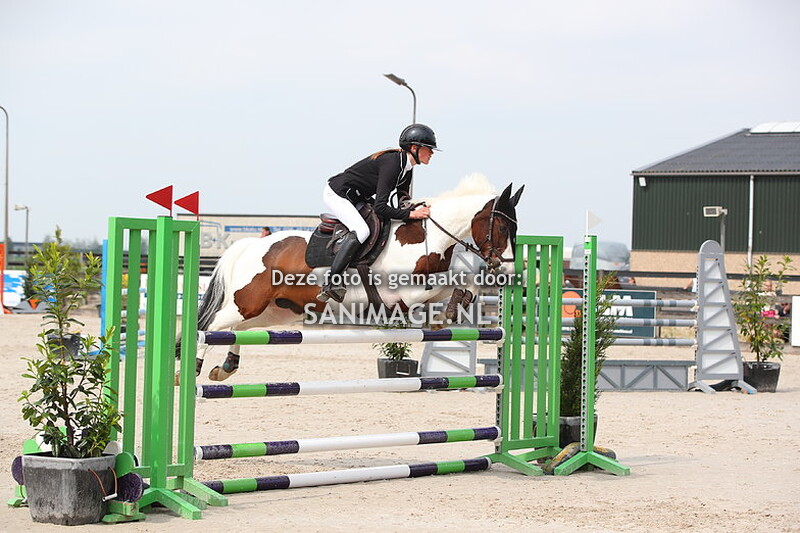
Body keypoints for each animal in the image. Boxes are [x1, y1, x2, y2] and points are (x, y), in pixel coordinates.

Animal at [185, 174, 524, 381]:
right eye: (501, 227)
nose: (507, 271)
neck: (427, 236)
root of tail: (252, 245)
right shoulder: (406, 294)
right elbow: (448, 282)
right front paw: (448, 313)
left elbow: (463, 281)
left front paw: (454, 309)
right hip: (248, 302)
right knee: (211, 326)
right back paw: (193, 369)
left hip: (274, 310)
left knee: (238, 330)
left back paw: (225, 369)